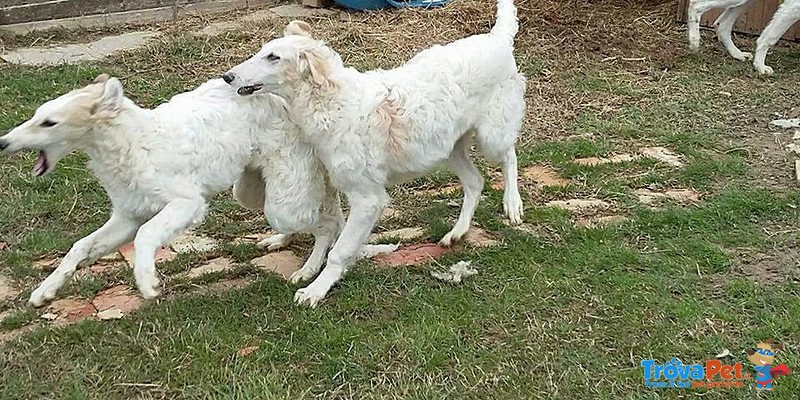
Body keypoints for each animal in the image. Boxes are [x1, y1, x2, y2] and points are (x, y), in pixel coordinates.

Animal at [0, 73, 340, 304]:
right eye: (36, 116)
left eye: (49, 123)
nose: (3, 142)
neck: (134, 142)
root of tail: (282, 99)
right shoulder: (127, 216)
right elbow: (79, 246)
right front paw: (46, 290)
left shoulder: (187, 204)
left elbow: (145, 235)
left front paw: (146, 280)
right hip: (252, 191)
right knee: (320, 215)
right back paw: (280, 241)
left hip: (282, 203)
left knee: (329, 225)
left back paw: (310, 271)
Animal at [223, 0, 524, 308]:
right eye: (262, 51)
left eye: (273, 57)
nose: (227, 77)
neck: (329, 102)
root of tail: (497, 38)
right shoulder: (331, 180)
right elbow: (324, 229)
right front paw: (305, 265)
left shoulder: (367, 198)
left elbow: (339, 250)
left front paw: (317, 289)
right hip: (446, 149)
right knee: (476, 181)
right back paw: (457, 232)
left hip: (491, 136)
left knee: (510, 156)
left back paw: (512, 204)